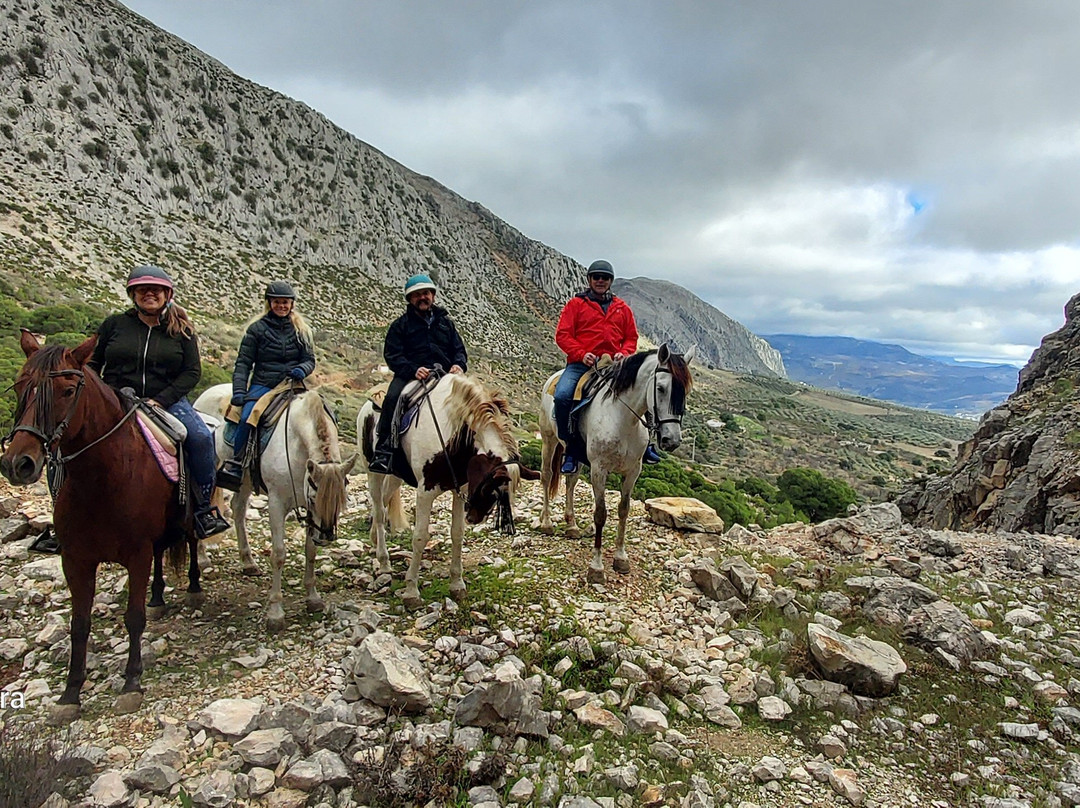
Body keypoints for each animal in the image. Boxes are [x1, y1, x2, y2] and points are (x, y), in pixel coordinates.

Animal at [0, 332, 201, 721]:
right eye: (19, 385)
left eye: (67, 390)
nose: (19, 463)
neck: (102, 479)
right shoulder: (75, 559)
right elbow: (79, 625)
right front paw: (69, 694)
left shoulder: (136, 553)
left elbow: (134, 617)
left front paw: (132, 683)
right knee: (161, 554)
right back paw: (158, 598)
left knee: (193, 543)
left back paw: (194, 586)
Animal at [193, 383, 356, 632]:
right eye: (315, 499)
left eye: (339, 500)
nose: (326, 536)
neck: (295, 443)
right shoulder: (277, 503)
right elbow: (279, 554)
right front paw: (275, 612)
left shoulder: (310, 513)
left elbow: (310, 551)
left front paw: (313, 598)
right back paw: (202, 558)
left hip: (244, 481)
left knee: (238, 509)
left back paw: (248, 562)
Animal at [356, 372, 538, 609]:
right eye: (490, 490)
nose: (475, 517)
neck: (452, 435)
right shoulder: (425, 492)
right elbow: (420, 537)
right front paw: (411, 590)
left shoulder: (459, 492)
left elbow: (457, 534)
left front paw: (457, 584)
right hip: (373, 472)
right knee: (378, 512)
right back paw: (384, 561)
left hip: (395, 476)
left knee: (385, 503)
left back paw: (375, 542)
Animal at [538, 344, 695, 583]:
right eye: (660, 388)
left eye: (685, 392)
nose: (672, 440)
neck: (622, 419)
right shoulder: (599, 470)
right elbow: (601, 514)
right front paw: (596, 567)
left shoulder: (633, 471)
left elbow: (624, 510)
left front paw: (621, 558)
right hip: (549, 440)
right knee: (546, 476)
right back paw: (546, 522)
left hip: (576, 455)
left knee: (571, 481)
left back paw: (572, 525)